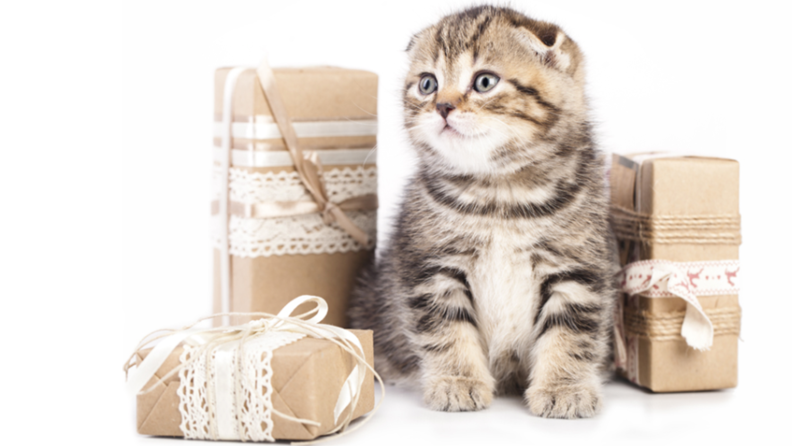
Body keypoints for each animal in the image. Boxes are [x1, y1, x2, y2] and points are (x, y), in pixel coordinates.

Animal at [348, 6, 620, 418]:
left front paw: (564, 387)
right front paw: (457, 381)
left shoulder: (577, 269)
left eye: (485, 81)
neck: (501, 194)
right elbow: (446, 329)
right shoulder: (433, 269)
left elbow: (571, 334)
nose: (442, 106)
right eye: (427, 84)